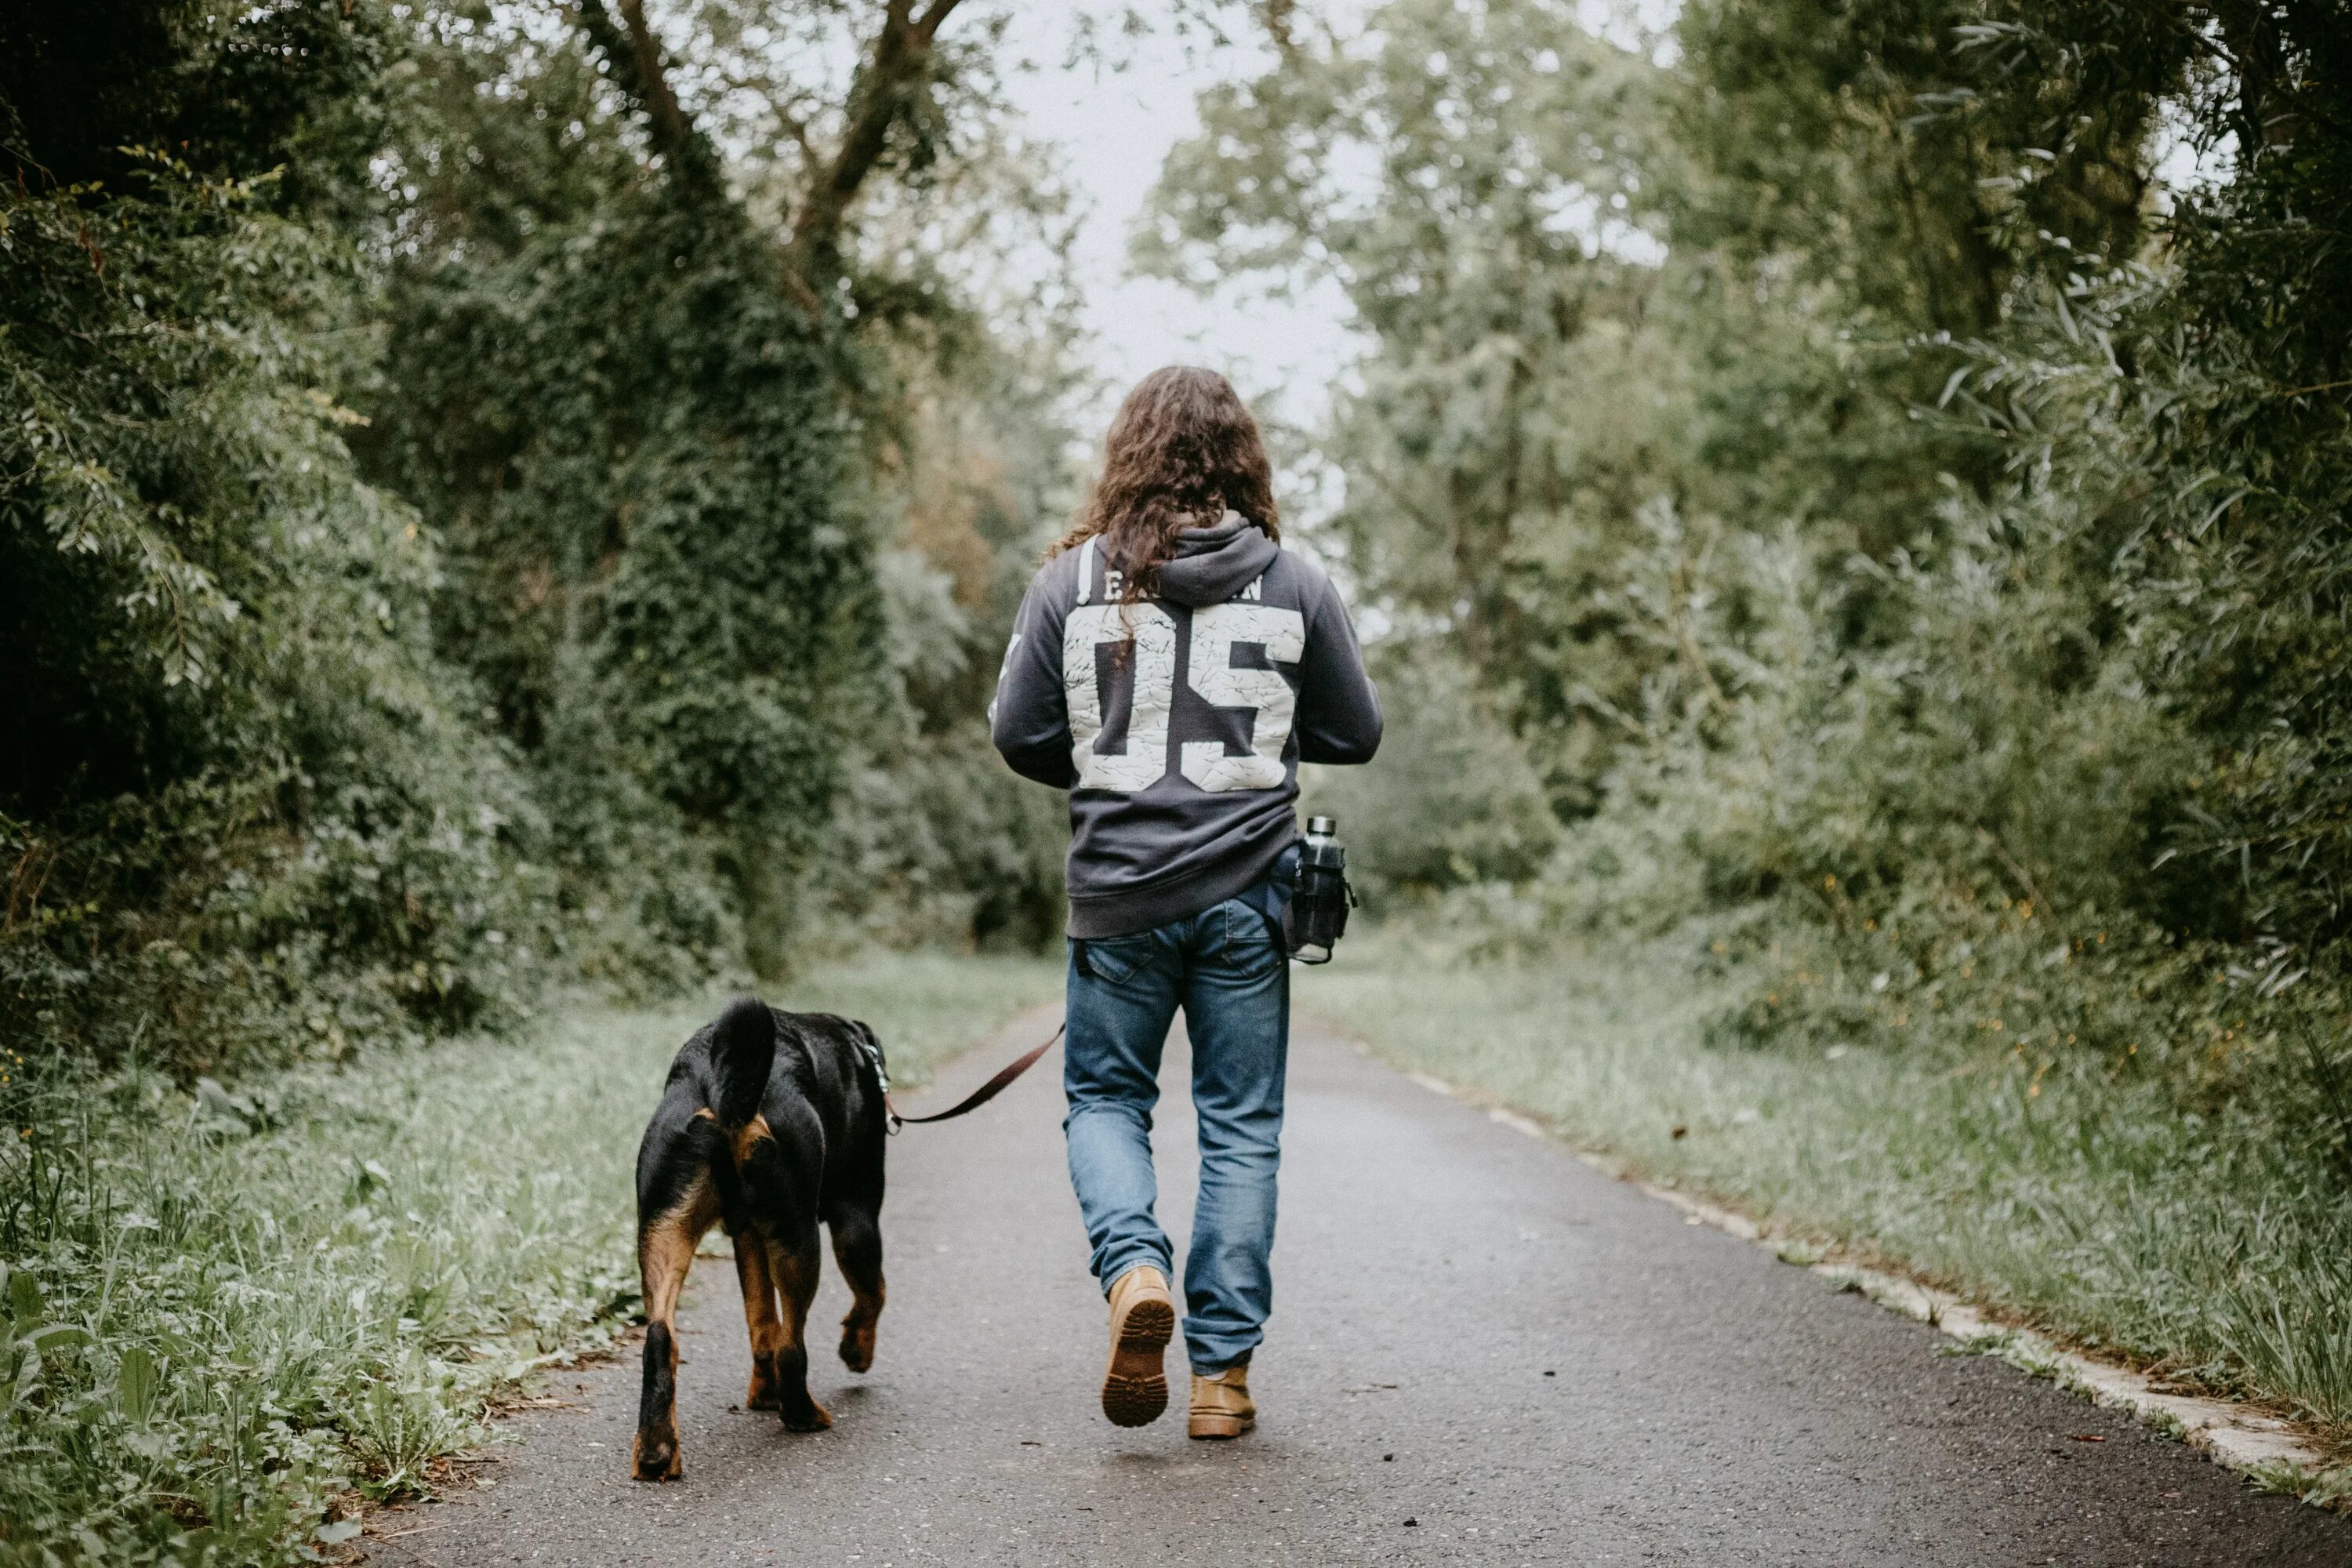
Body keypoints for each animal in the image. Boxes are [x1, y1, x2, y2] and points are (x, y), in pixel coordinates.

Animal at [630, 1001, 884, 1476]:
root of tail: (716, 1081)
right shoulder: (857, 1212)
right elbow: (873, 1293)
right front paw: (856, 1350)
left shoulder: (746, 1235)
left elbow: (761, 1321)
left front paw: (765, 1394)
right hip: (798, 1235)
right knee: (793, 1343)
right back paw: (802, 1413)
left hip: (663, 1231)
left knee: (661, 1338)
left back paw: (655, 1450)